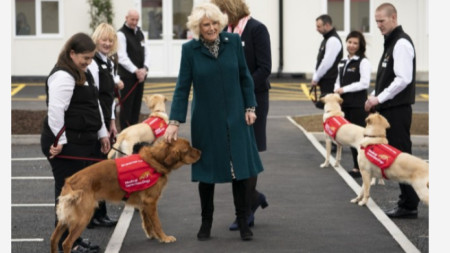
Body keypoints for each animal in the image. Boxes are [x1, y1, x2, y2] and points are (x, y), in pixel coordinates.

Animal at [49, 138, 202, 253]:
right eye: (187, 149)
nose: (201, 152)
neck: (156, 160)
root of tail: (70, 182)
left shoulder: (144, 203)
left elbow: (147, 222)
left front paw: (151, 235)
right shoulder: (151, 202)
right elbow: (157, 223)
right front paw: (164, 238)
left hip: (64, 219)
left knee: (54, 239)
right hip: (83, 218)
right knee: (66, 243)